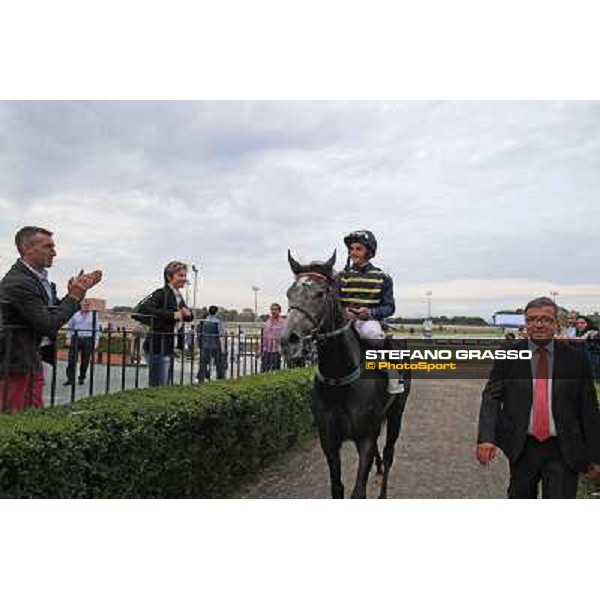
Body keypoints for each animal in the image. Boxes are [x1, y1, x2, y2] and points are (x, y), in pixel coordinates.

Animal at [280, 251, 408, 500]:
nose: (288, 340)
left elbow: (358, 492)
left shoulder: (365, 437)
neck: (340, 381)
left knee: (389, 453)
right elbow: (337, 488)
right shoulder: (328, 439)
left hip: (397, 412)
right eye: (289, 293)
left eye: (320, 293)